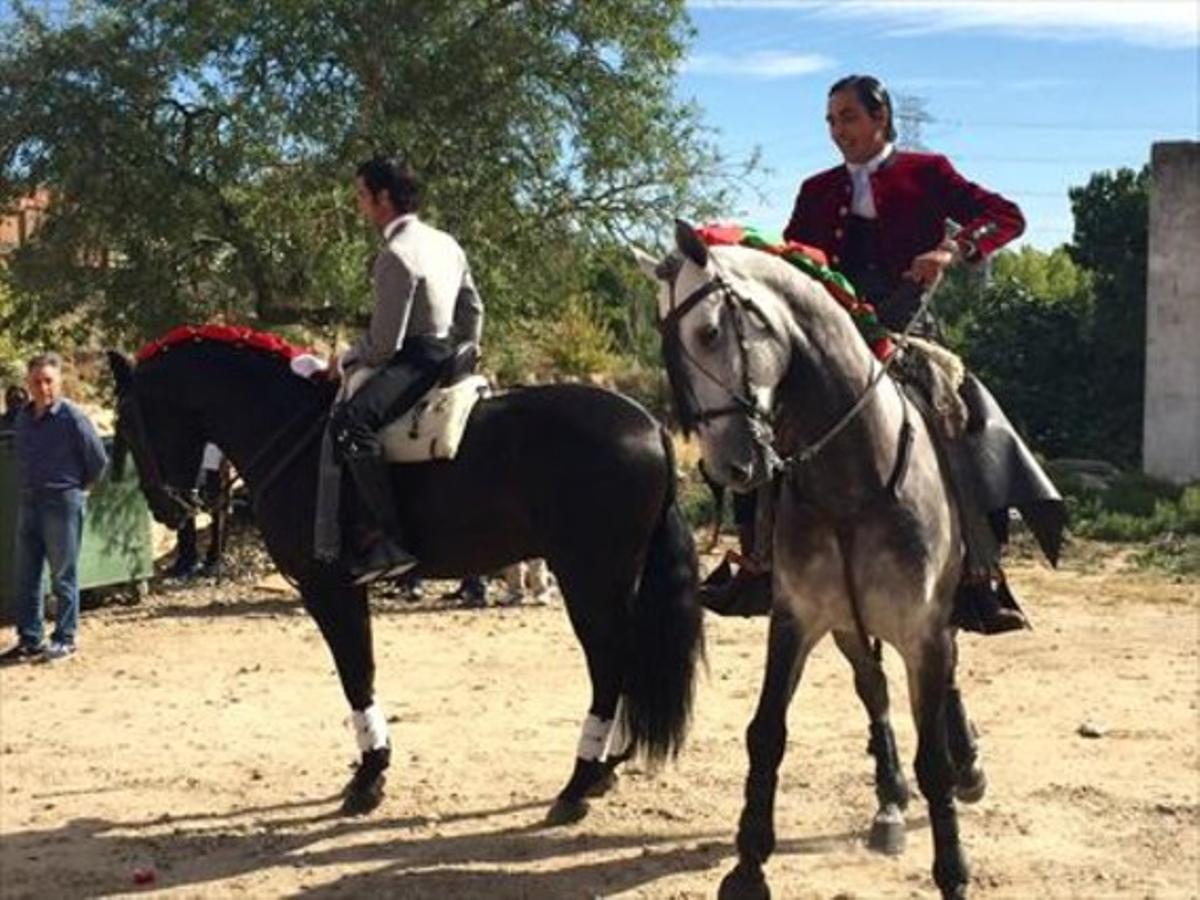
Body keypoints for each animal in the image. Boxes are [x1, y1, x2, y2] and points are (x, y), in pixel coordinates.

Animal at [109, 333, 705, 825]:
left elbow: (356, 673)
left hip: (591, 579)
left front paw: (370, 774)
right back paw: (606, 766)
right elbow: (361, 671)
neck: (293, 431)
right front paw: (370, 768)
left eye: (126, 423)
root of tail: (649, 424)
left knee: (609, 665)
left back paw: (580, 781)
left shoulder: (328, 587)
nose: (166, 509)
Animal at [638, 224, 984, 900]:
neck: (853, 482)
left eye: (709, 333)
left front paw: (953, 870)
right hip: (849, 627)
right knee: (874, 691)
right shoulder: (797, 618)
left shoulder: (923, 632)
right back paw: (889, 801)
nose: (729, 467)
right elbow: (767, 733)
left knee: (944, 683)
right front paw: (748, 864)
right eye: (668, 351)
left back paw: (967, 767)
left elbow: (932, 754)